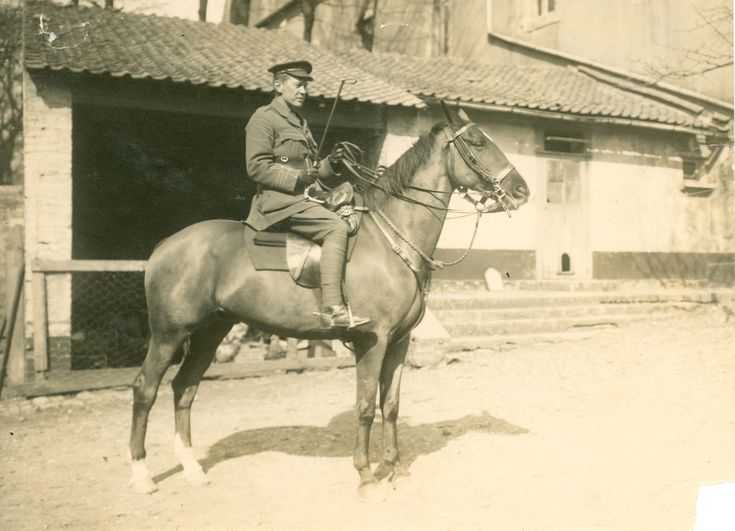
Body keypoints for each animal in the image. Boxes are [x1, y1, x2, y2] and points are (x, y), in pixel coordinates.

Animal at [126, 103, 528, 498]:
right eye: (477, 143)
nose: (521, 190)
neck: (390, 239)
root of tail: (166, 244)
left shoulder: (399, 342)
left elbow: (391, 405)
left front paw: (396, 468)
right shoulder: (373, 341)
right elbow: (365, 407)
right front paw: (366, 476)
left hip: (211, 332)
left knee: (184, 389)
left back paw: (192, 469)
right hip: (169, 334)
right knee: (145, 389)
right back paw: (141, 473)